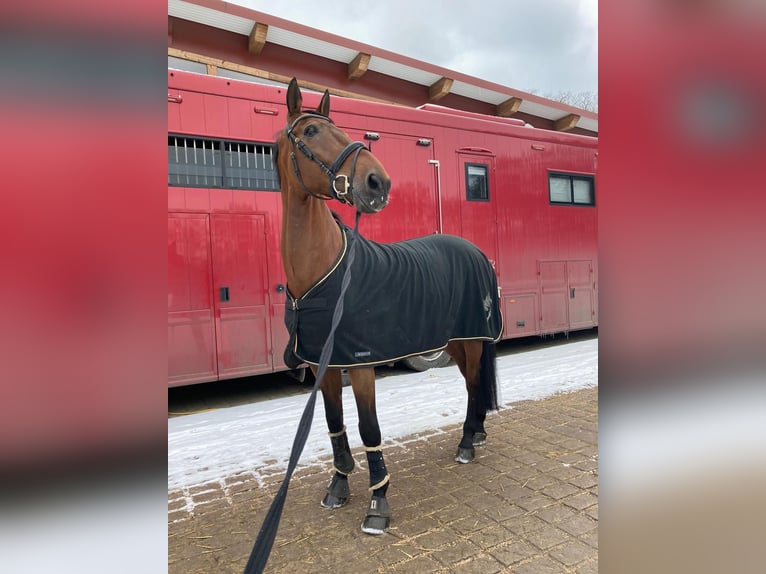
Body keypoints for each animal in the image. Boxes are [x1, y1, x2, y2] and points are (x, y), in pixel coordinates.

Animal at [275, 78, 502, 535]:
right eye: (311, 131)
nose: (377, 182)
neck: (324, 274)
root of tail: (474, 251)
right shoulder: (325, 366)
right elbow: (335, 424)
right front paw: (338, 487)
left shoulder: (361, 365)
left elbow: (369, 428)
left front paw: (378, 504)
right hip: (453, 341)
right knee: (471, 385)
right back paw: (475, 435)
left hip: (472, 340)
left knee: (473, 386)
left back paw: (467, 444)